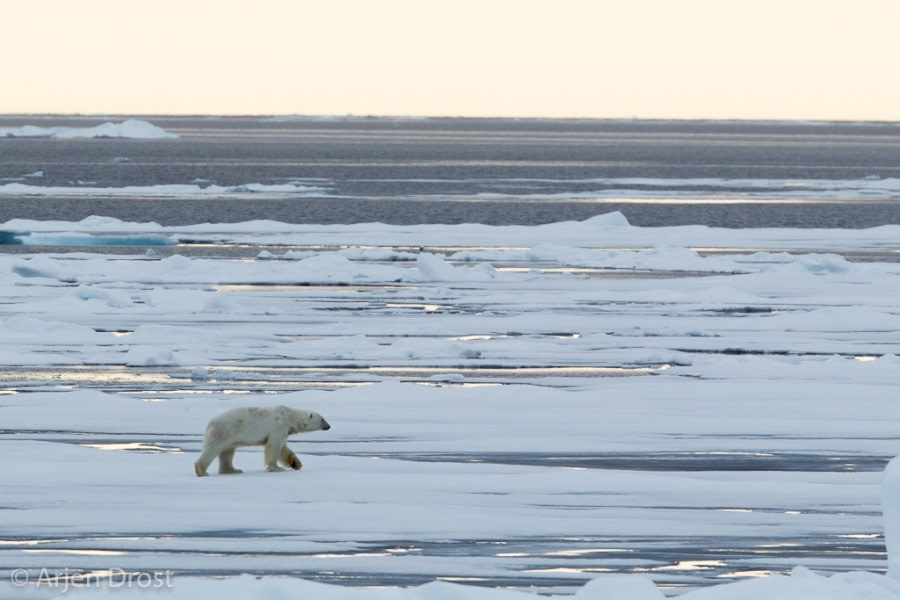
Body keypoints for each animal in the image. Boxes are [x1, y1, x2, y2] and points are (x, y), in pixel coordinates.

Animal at [193, 406, 330, 476]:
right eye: (322, 419)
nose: (329, 426)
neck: (289, 415)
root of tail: (210, 423)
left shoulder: (283, 429)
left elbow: (283, 449)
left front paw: (296, 464)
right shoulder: (278, 425)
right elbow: (274, 446)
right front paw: (277, 468)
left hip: (228, 436)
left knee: (227, 452)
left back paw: (233, 470)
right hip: (223, 431)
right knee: (212, 449)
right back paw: (201, 471)